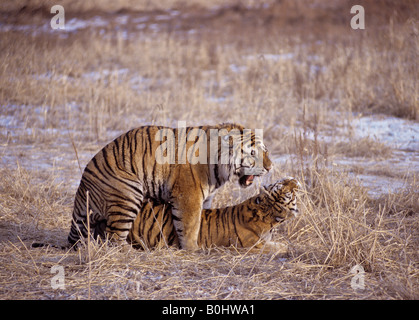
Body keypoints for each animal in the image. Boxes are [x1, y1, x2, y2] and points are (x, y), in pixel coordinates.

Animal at [67, 122, 274, 250]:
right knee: (113, 237)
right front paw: (192, 248)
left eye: (266, 151)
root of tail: (82, 186)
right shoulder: (188, 197)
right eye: (253, 153)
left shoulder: (205, 198)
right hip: (128, 193)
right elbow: (190, 225)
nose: (270, 167)